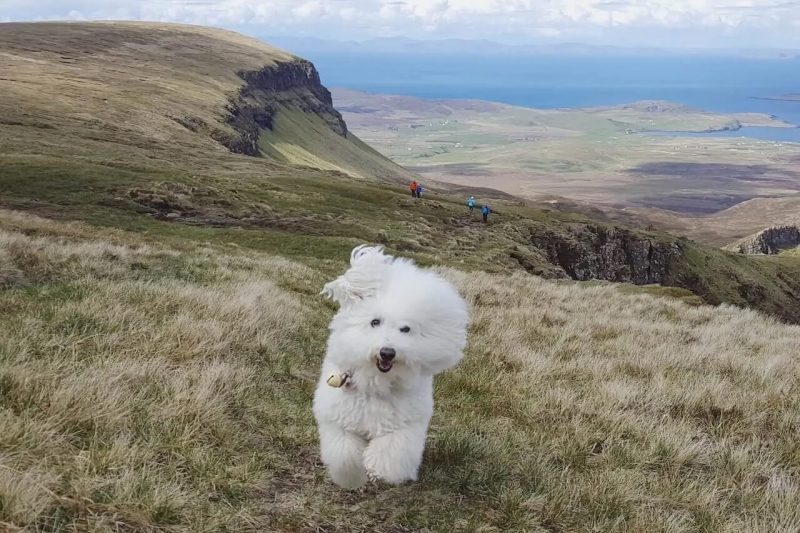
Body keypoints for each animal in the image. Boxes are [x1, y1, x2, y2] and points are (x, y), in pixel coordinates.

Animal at [312, 245, 468, 486]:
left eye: (406, 329)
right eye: (375, 322)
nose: (387, 352)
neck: (376, 382)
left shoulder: (405, 425)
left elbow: (392, 452)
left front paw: (378, 470)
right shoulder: (338, 421)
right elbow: (344, 455)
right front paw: (352, 479)